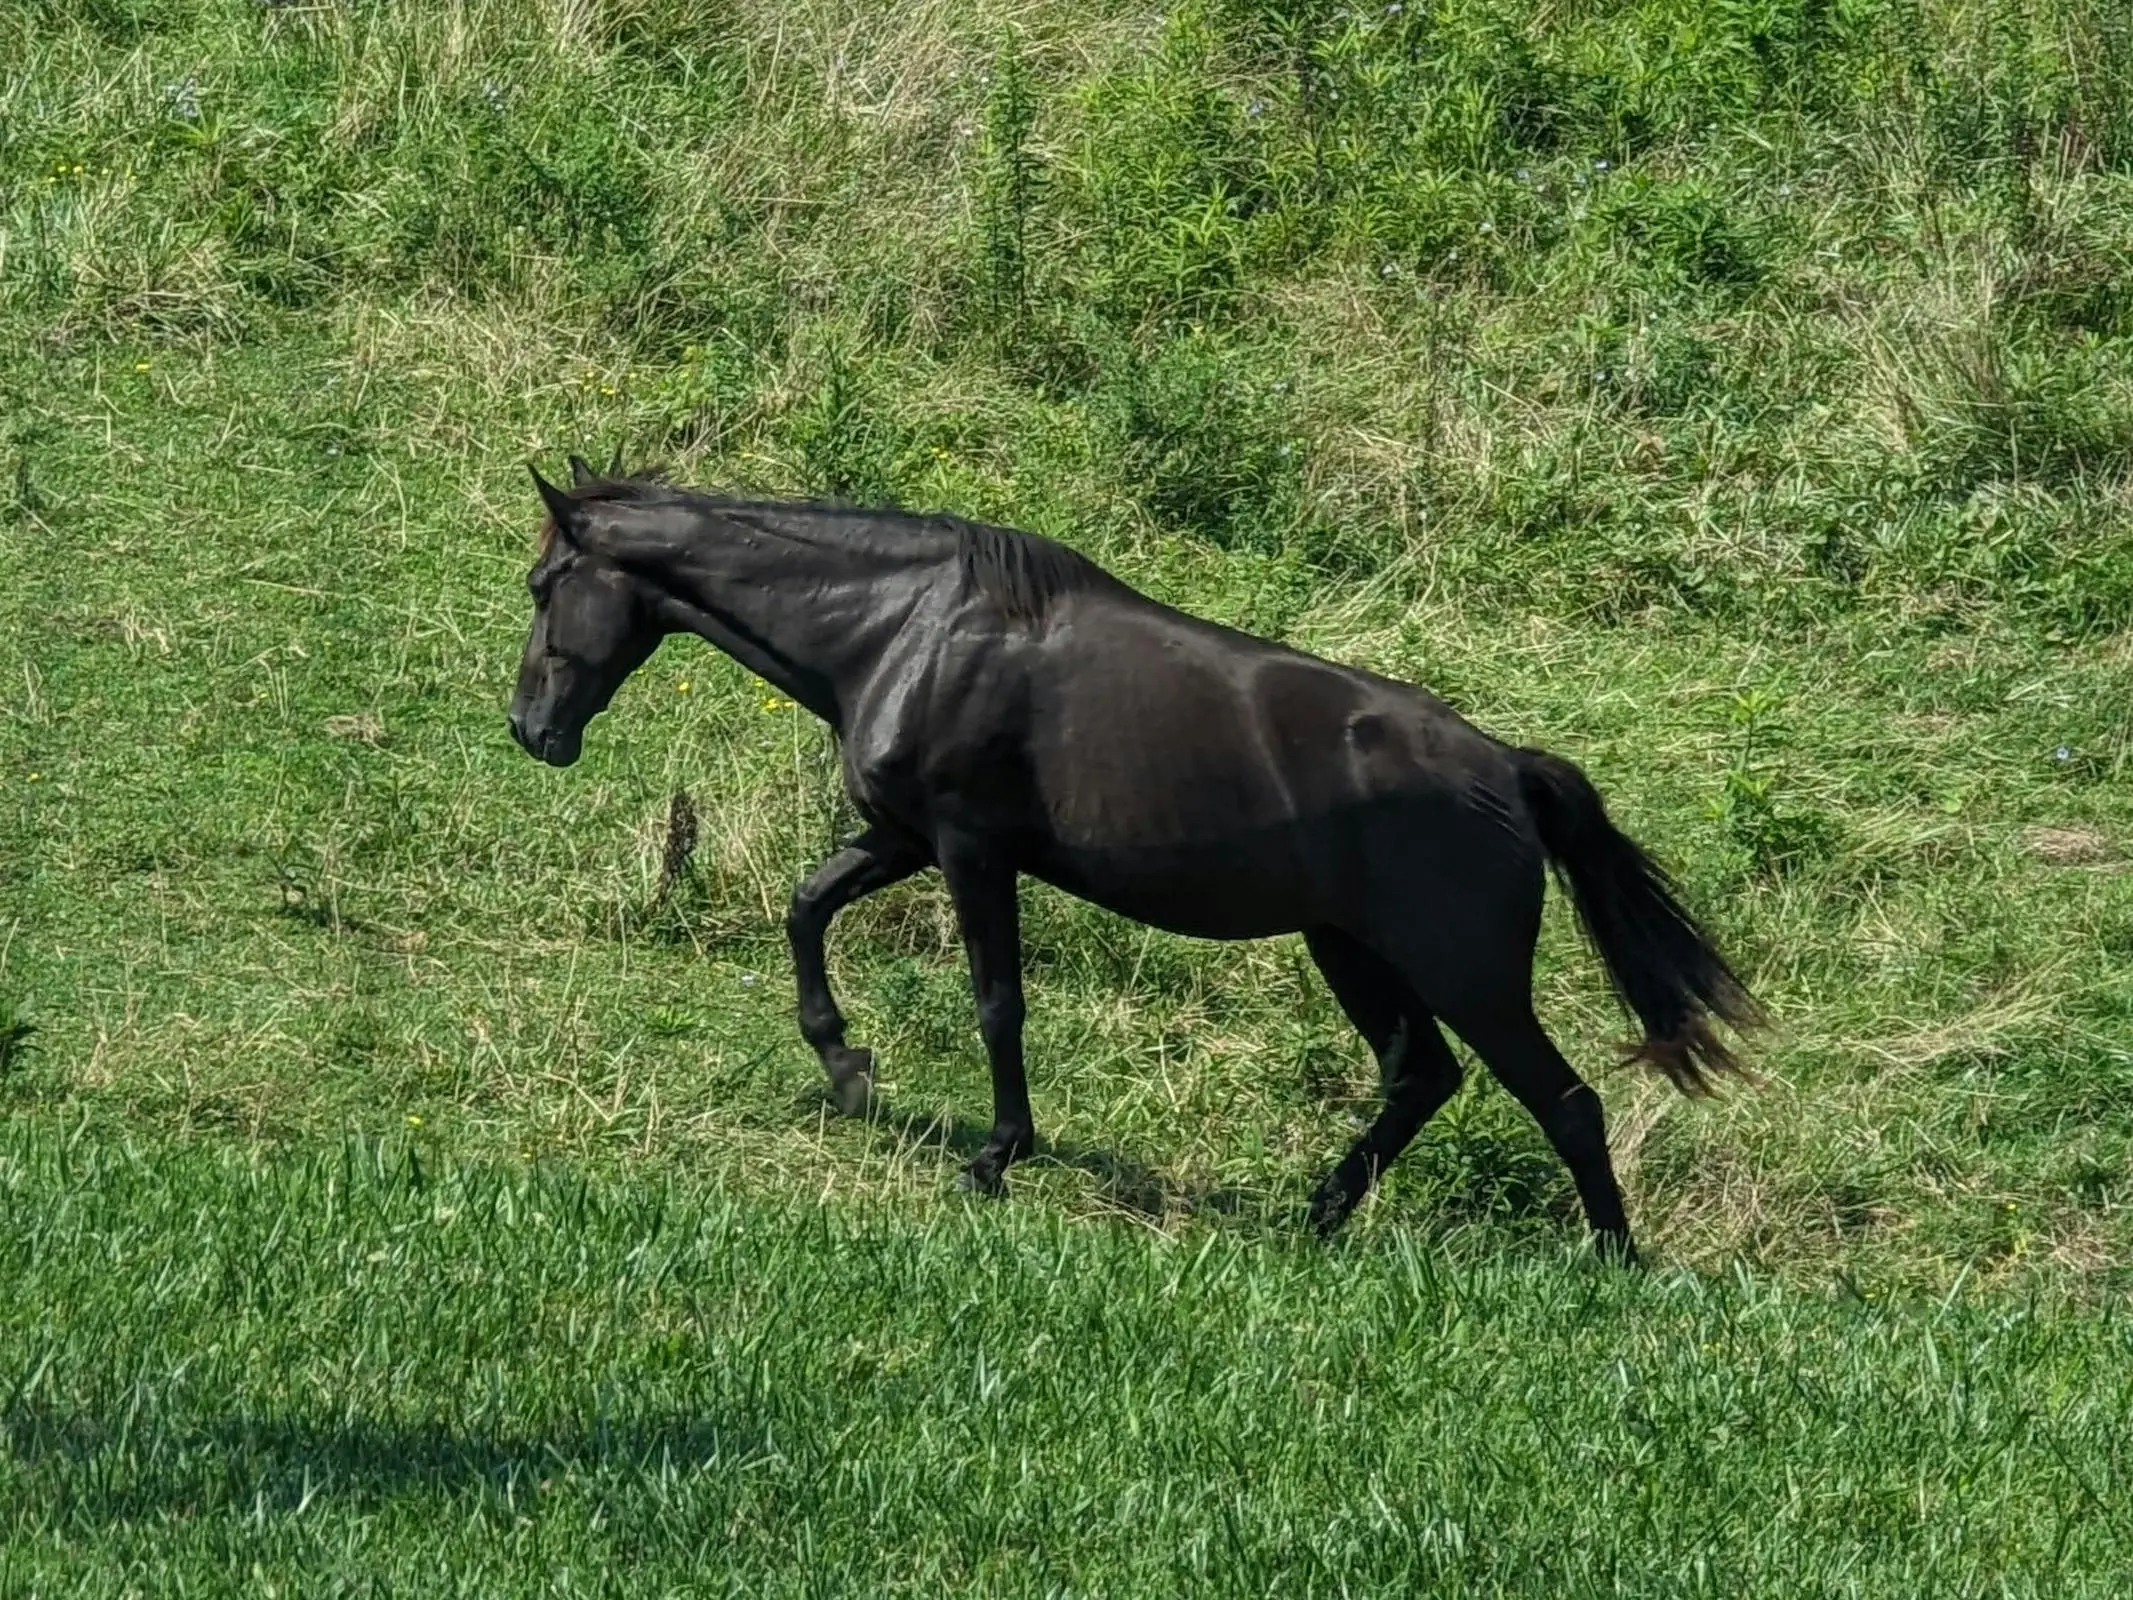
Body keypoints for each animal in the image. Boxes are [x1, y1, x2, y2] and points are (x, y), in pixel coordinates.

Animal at [507, 454, 1757, 1262]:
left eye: (543, 585)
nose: (531, 730)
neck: (900, 629)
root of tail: (1507, 770)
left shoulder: (969, 849)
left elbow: (996, 1001)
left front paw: (996, 1155)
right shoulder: (904, 838)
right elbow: (808, 906)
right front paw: (846, 1063)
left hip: (1469, 975)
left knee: (1566, 1101)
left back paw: (1611, 1264)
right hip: (1352, 950)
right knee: (1422, 1078)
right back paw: (1312, 1216)